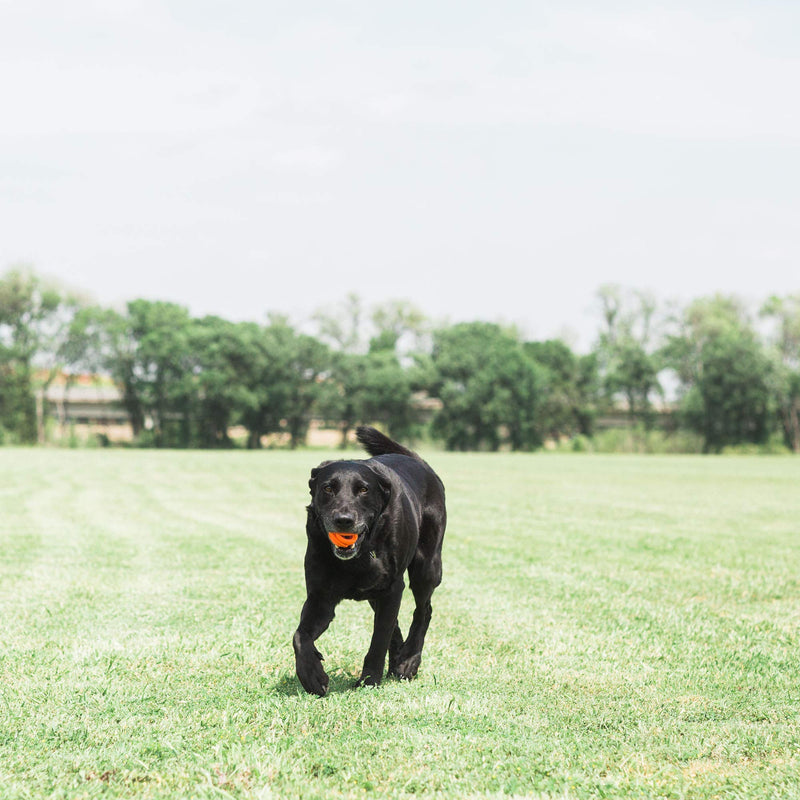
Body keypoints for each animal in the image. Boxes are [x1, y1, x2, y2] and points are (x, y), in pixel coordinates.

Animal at [294, 424, 446, 692]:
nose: (344, 520)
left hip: (426, 567)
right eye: (328, 488)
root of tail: (420, 462)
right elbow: (300, 636)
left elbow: (378, 641)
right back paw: (398, 661)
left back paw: (408, 661)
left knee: (423, 610)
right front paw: (312, 675)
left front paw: (369, 680)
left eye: (363, 489)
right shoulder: (321, 597)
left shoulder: (393, 587)